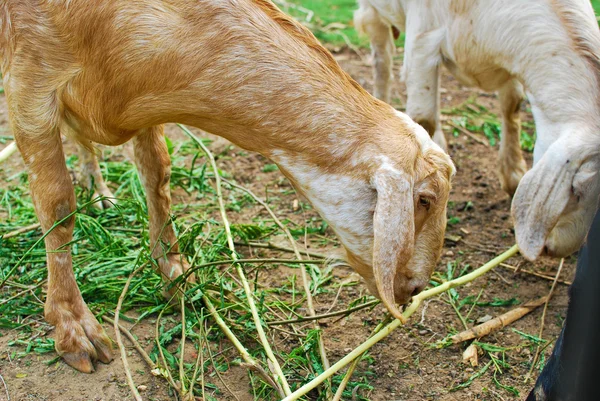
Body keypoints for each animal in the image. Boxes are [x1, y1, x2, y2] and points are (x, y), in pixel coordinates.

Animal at [0, 0, 450, 372]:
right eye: (425, 199)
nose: (414, 288)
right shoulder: (31, 86)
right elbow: (57, 205)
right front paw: (73, 326)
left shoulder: (144, 100)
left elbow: (157, 174)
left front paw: (175, 271)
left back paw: (100, 190)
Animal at [354, 0, 600, 260]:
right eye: (575, 189)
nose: (558, 250)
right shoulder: (423, 41)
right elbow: (423, 118)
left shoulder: (510, 62)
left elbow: (511, 106)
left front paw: (512, 174)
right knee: (382, 61)